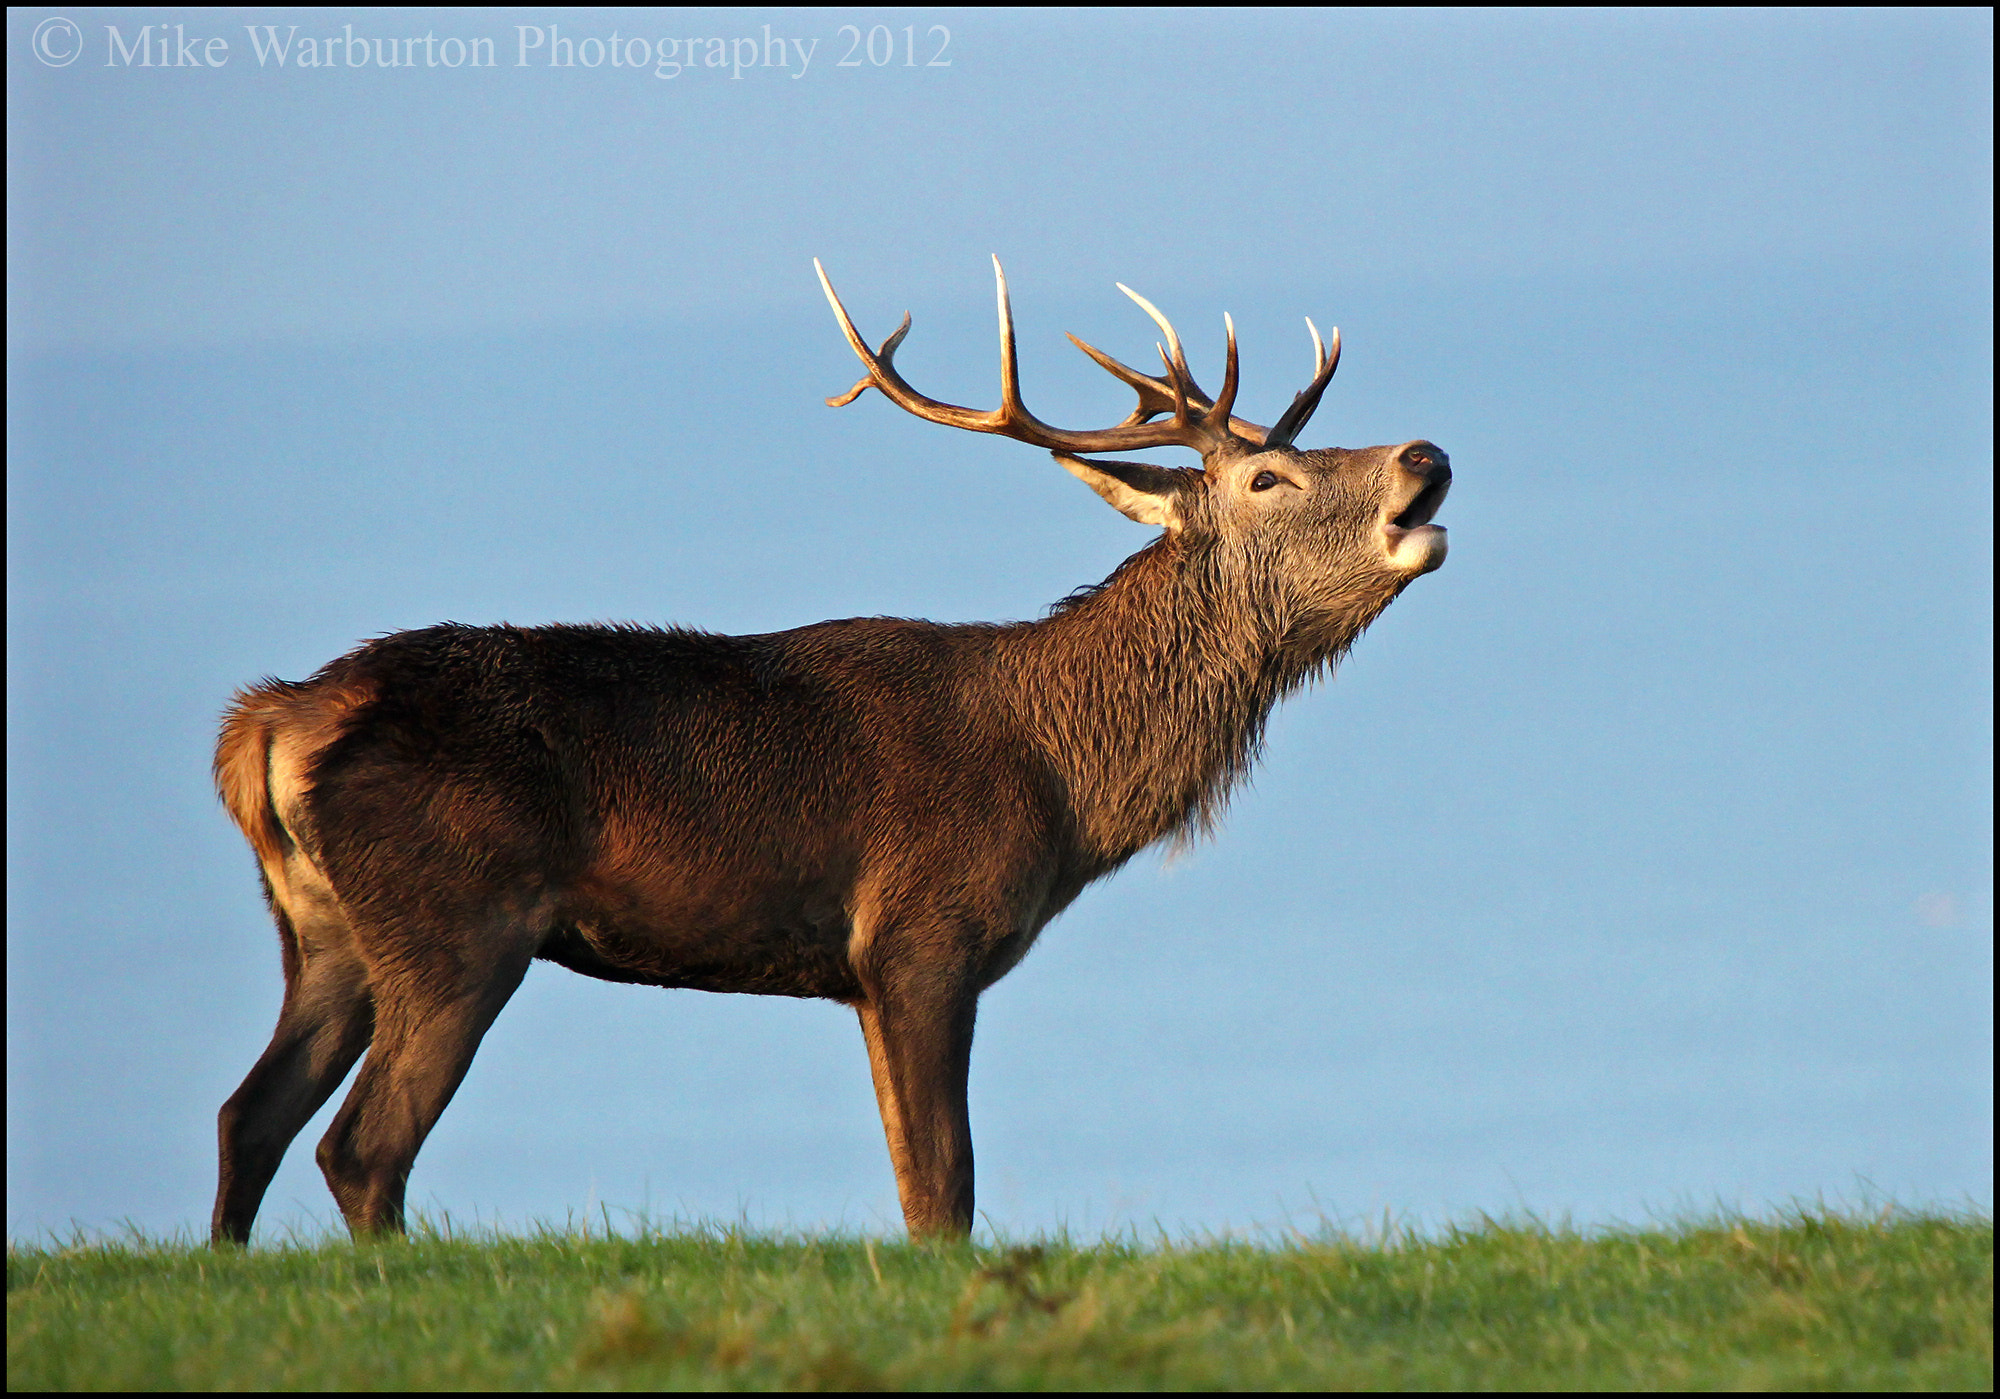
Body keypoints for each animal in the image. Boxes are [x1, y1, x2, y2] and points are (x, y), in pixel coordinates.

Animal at [208, 258, 1450, 1244]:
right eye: (1266, 477)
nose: (1424, 454)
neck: (1060, 787)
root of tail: (271, 718)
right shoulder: (920, 933)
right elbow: (943, 1186)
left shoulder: (859, 974)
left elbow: (910, 1180)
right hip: (456, 920)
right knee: (362, 1145)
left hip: (325, 930)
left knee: (246, 1114)